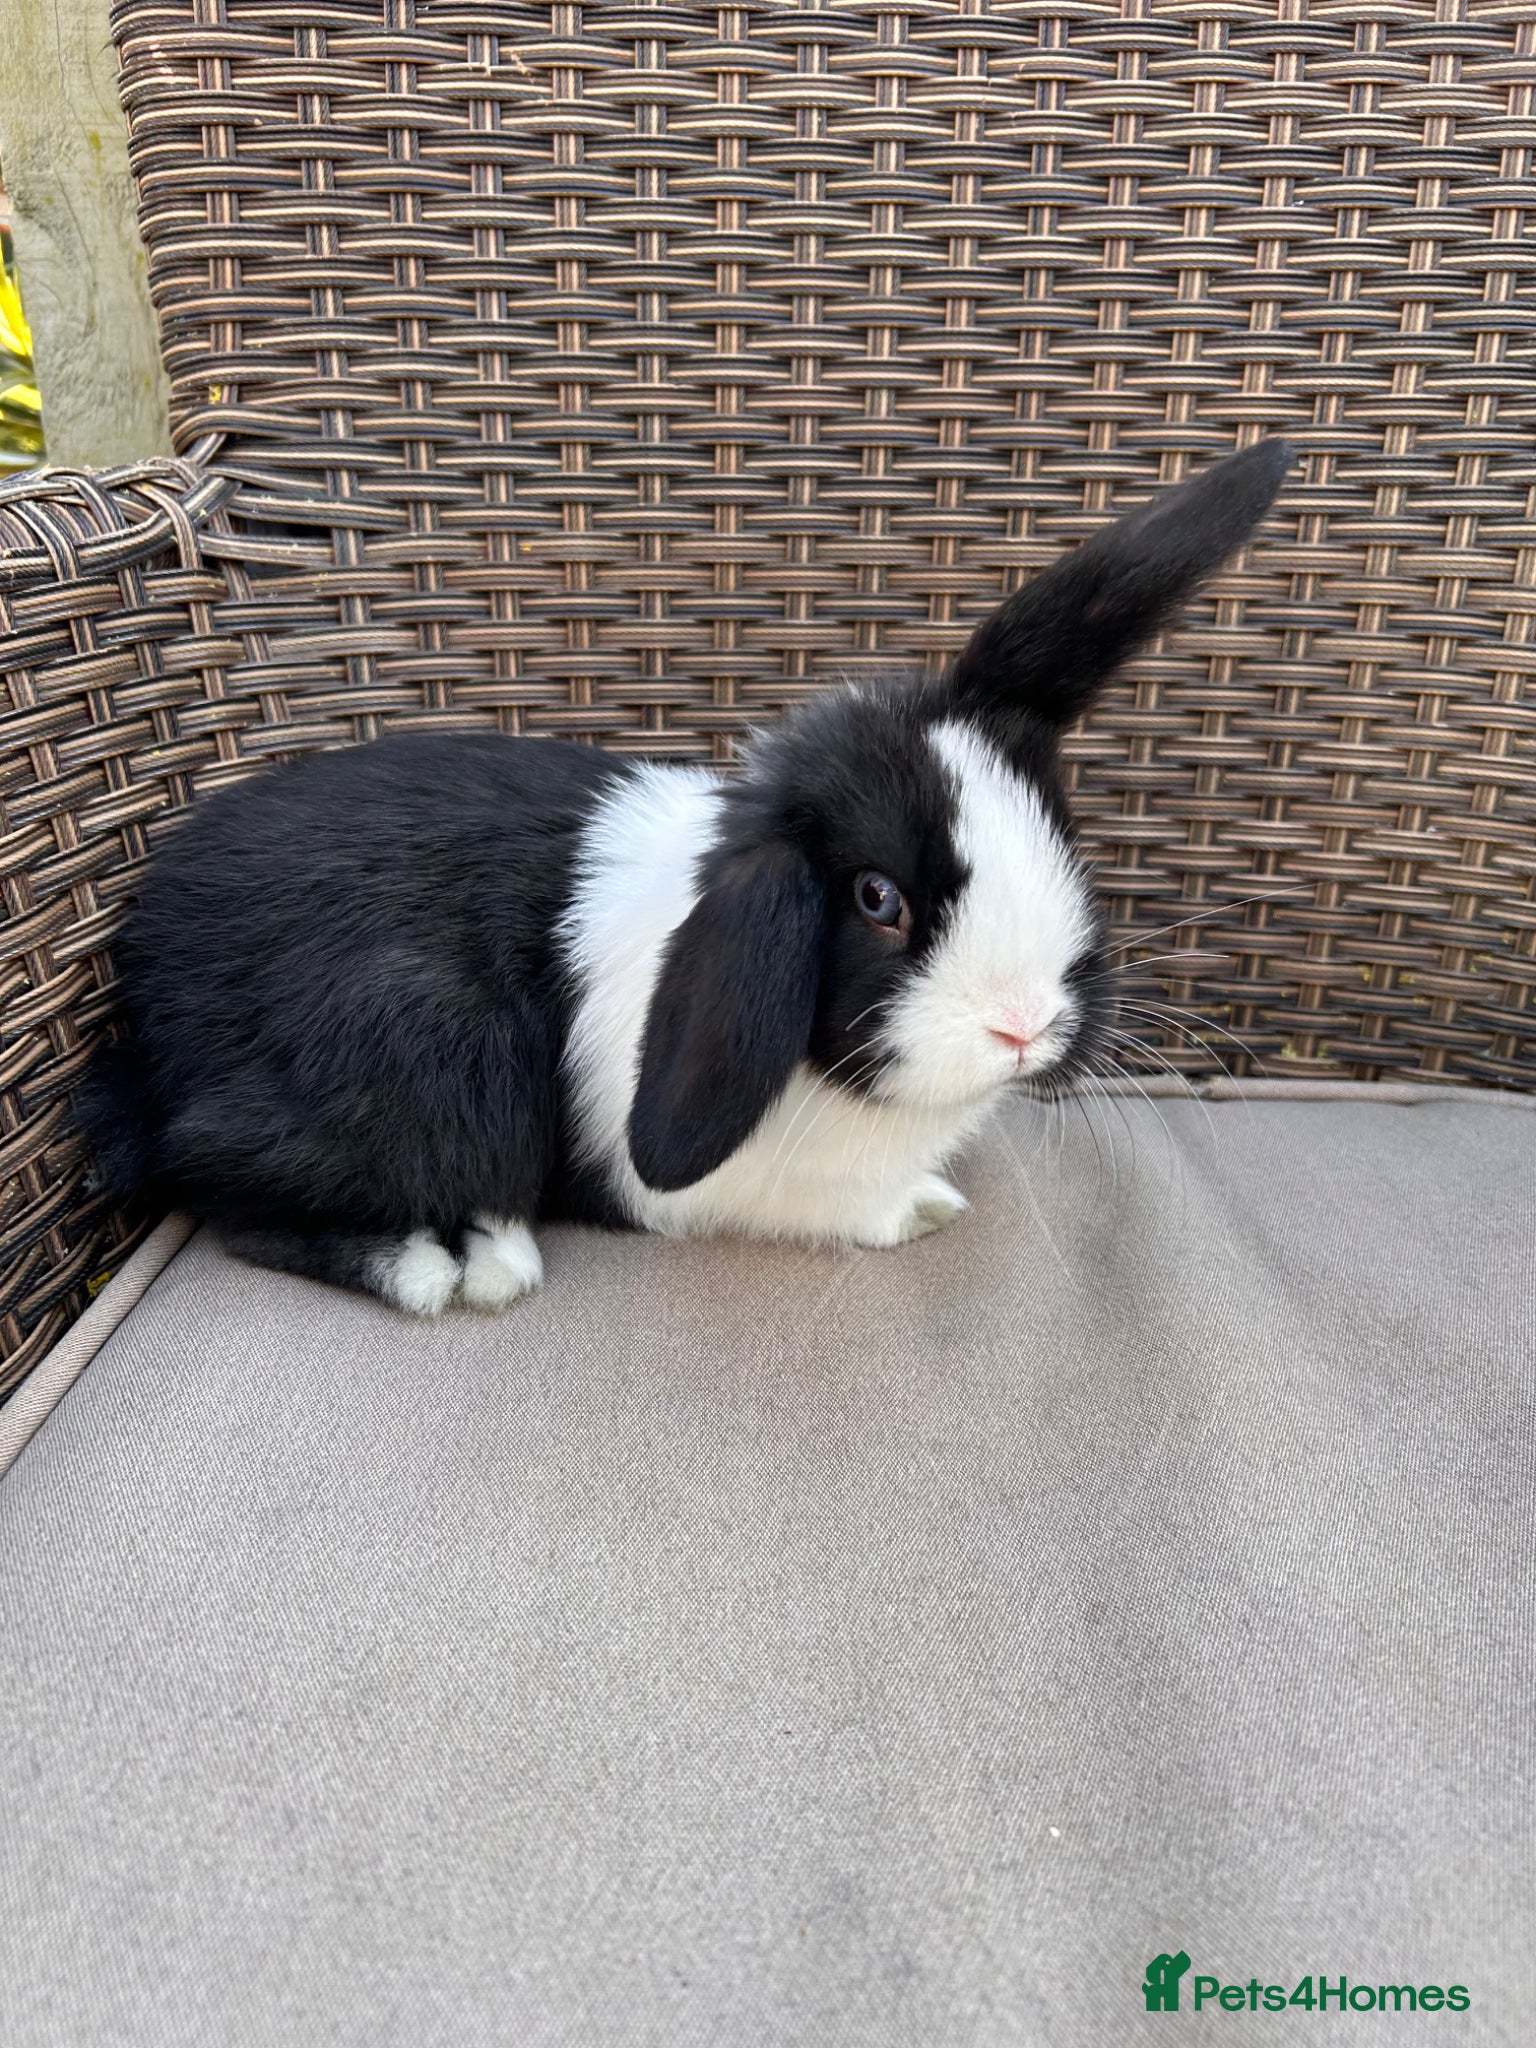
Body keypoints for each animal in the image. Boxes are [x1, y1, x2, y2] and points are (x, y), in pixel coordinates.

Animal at [79, 438, 1292, 1314]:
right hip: (425, 1052)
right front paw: (914, 1215)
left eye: (1060, 829)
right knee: (226, 1188)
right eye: (877, 898)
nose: (1026, 1026)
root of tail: (144, 1011)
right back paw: (462, 1264)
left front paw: (933, 1201)